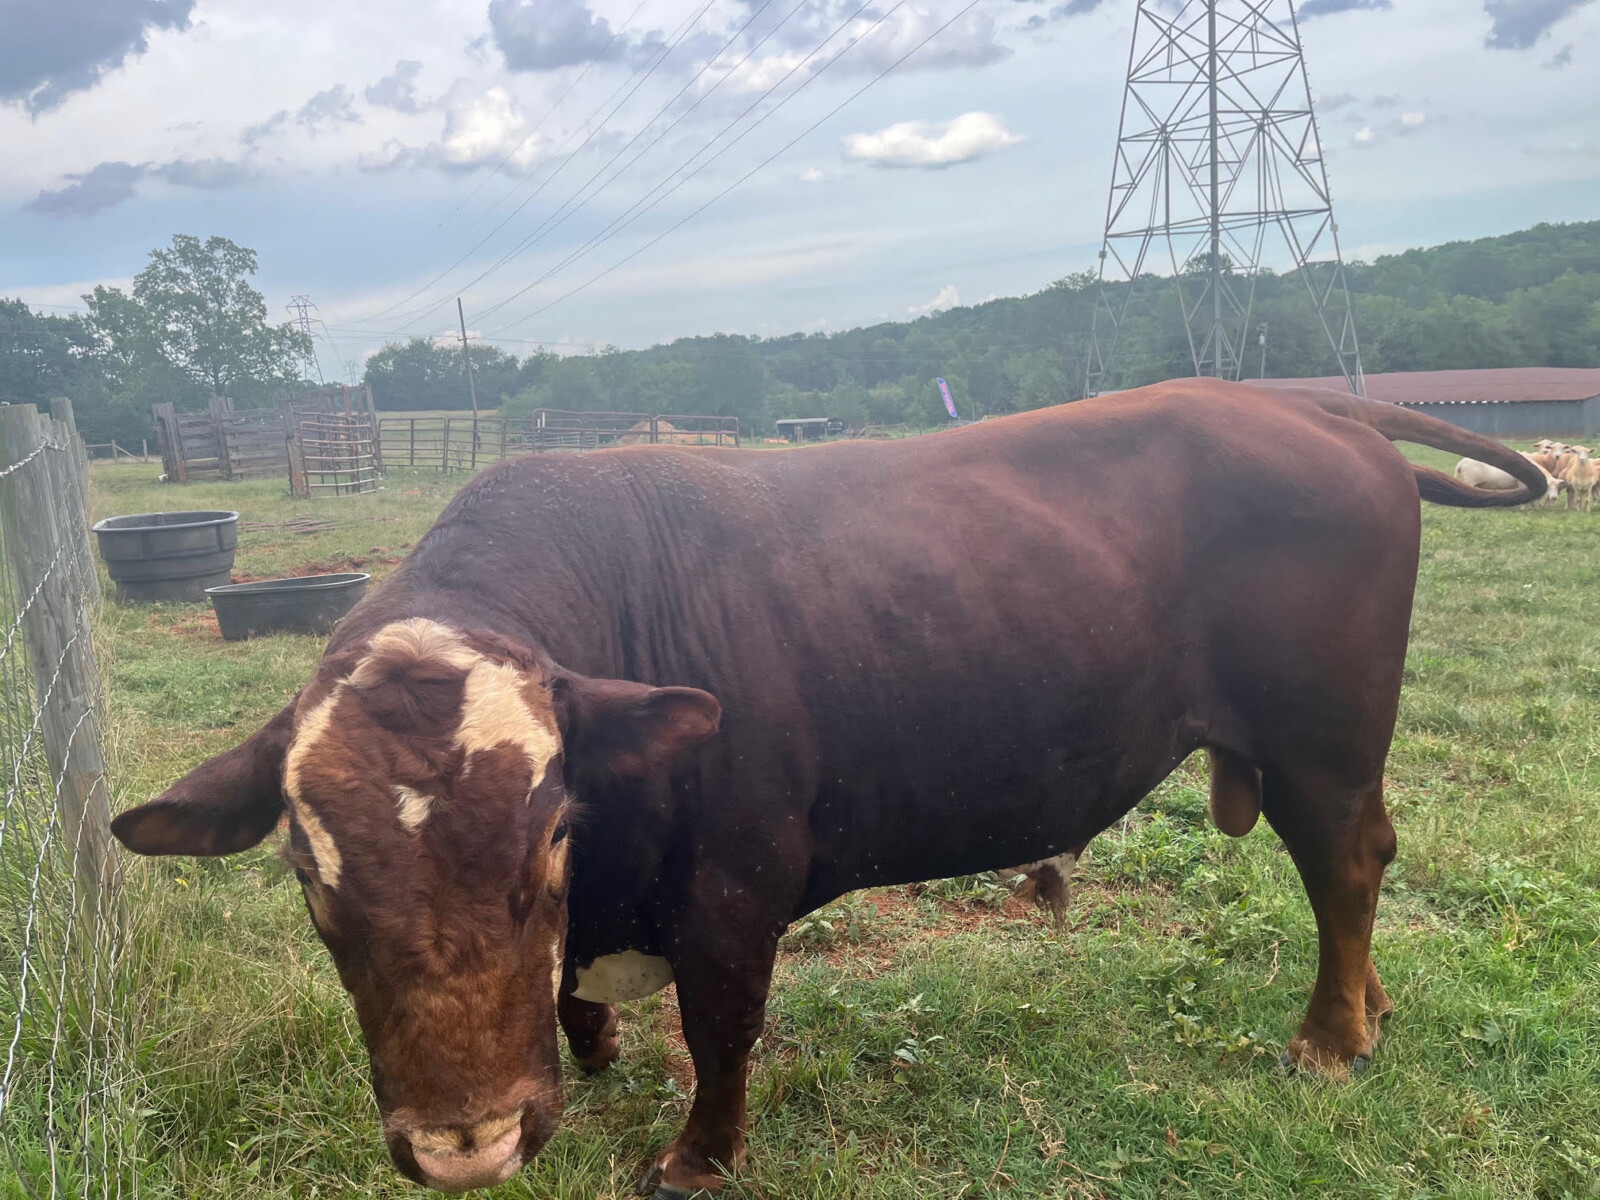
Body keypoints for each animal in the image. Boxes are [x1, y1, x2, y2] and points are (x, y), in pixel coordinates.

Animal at [110, 380, 1548, 1197]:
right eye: (307, 878)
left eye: (550, 840)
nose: (468, 1145)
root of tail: (1315, 407)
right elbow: (583, 1002)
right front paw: (597, 1046)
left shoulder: (735, 889)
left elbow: (723, 1031)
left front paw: (698, 1155)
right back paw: (1369, 1013)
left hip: (1321, 738)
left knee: (1346, 862)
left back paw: (1331, 1035)